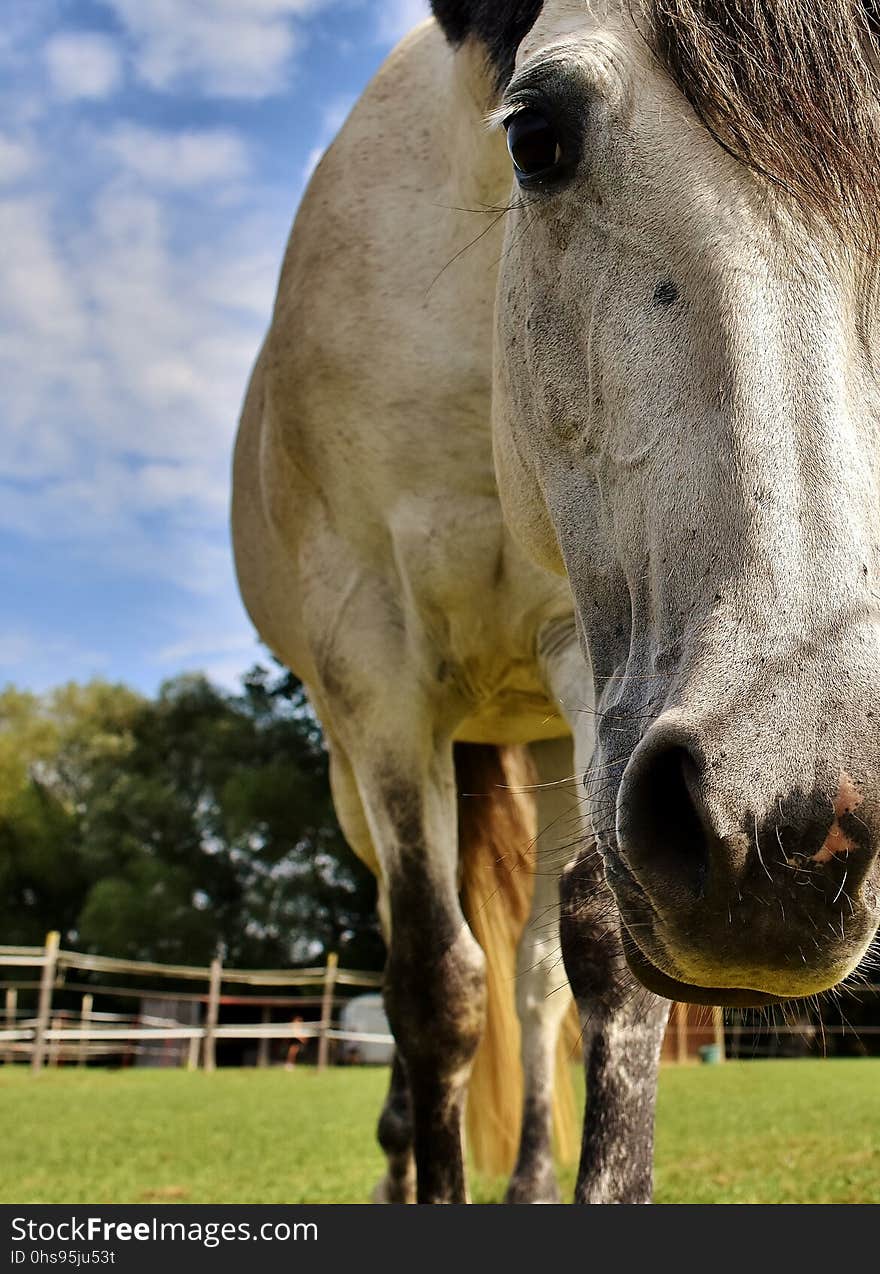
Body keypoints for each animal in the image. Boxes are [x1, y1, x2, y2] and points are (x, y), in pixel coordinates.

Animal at [231, 0, 880, 1202]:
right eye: (534, 138)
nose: (792, 834)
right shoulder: (377, 678)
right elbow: (434, 986)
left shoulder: (591, 661)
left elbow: (600, 969)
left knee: (535, 976)